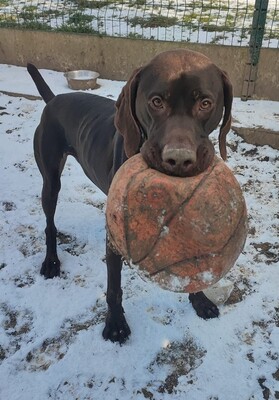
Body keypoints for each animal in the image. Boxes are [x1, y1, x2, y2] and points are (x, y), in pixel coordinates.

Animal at [27, 49, 234, 344]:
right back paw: (51, 262)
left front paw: (200, 300)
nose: (179, 160)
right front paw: (115, 324)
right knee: (49, 223)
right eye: (156, 101)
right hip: (51, 180)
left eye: (205, 103)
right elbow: (114, 285)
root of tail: (55, 99)